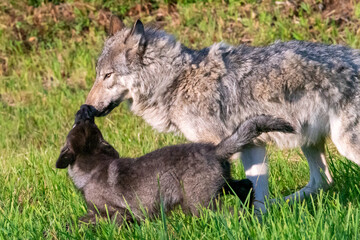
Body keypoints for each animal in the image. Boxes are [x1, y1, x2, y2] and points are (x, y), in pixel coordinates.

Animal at [55, 106, 292, 224]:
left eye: (80, 122)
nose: (84, 110)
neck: (93, 168)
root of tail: (215, 150)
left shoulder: (116, 212)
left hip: (198, 203)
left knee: (228, 212)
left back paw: (244, 219)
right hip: (217, 185)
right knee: (244, 186)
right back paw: (251, 211)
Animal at [85, 16, 360, 212]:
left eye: (107, 75)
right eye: (98, 74)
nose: (88, 108)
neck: (174, 81)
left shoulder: (218, 146)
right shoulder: (251, 145)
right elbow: (259, 192)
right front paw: (259, 222)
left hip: (344, 145)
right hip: (309, 142)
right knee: (322, 182)